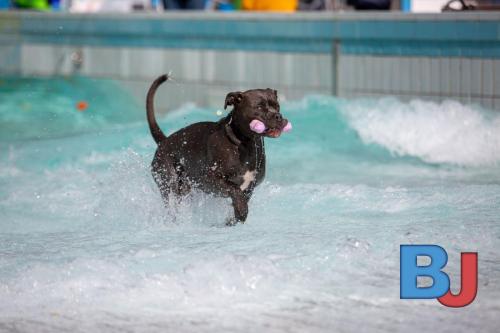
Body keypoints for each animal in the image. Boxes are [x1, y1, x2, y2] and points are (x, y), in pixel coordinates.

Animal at [146, 74, 290, 226]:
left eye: (277, 106)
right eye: (259, 107)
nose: (278, 116)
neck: (246, 143)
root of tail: (164, 141)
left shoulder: (250, 186)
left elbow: (240, 198)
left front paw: (233, 219)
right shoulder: (209, 179)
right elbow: (235, 190)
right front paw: (241, 210)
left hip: (185, 189)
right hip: (168, 182)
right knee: (170, 203)